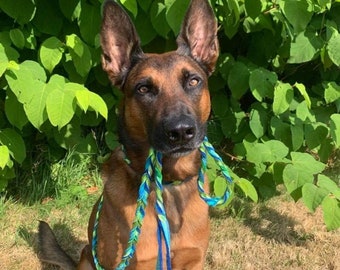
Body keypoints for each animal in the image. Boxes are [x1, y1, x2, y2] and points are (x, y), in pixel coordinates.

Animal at [37, 0, 218, 268]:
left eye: (193, 81)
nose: (181, 132)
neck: (166, 183)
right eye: (144, 89)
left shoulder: (193, 260)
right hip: (88, 258)